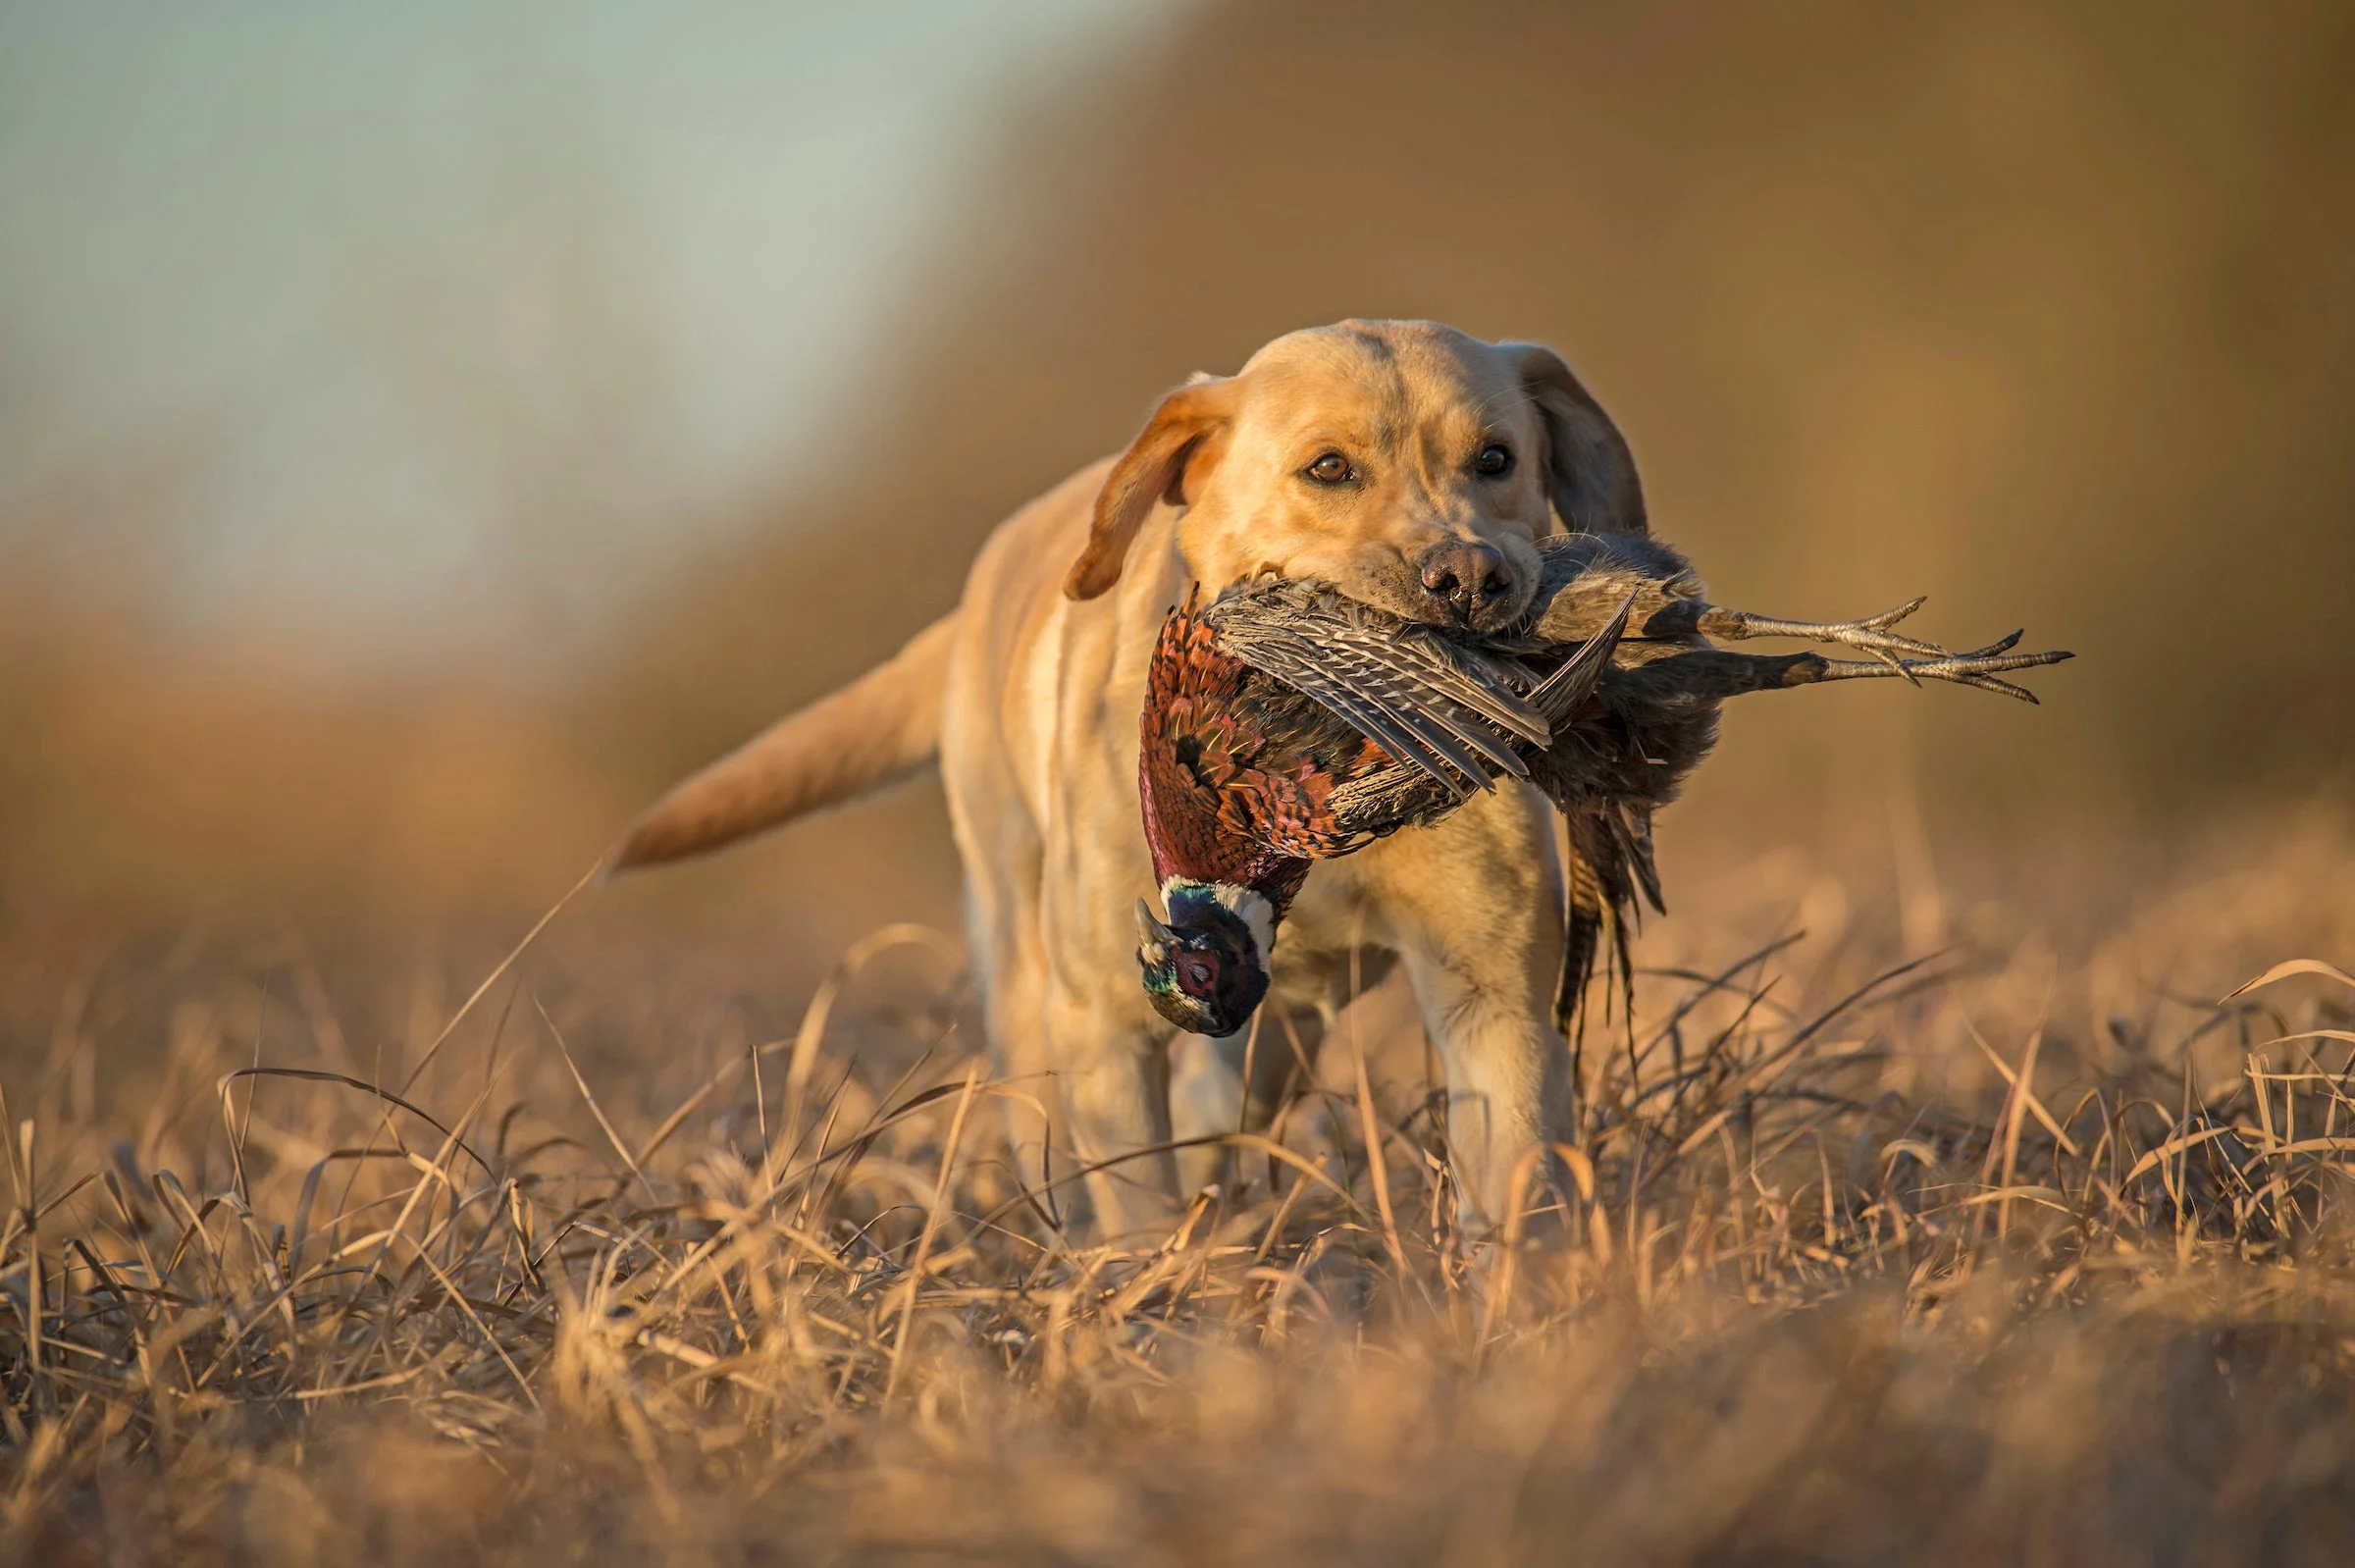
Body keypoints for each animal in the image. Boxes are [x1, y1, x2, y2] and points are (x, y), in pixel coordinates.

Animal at [612, 317, 1639, 1233]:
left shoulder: (1494, 996)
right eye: (1329, 468)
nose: (1469, 578)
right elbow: (1136, 1202)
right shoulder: (1106, 1019)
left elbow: (1520, 1189)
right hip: (1028, 980)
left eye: (1497, 459)